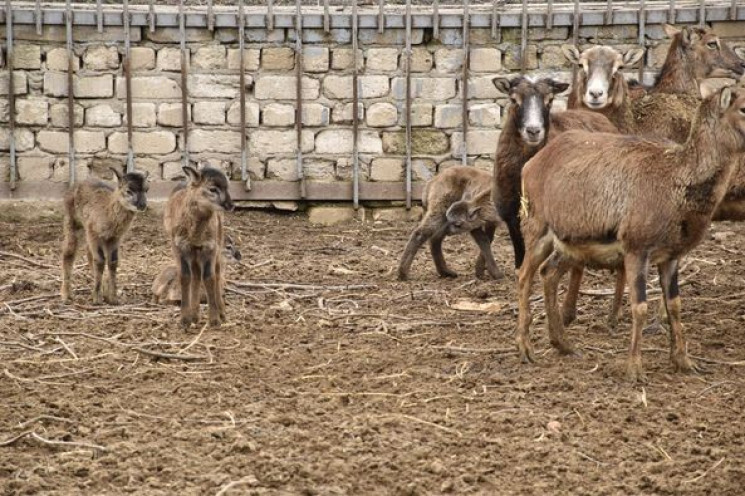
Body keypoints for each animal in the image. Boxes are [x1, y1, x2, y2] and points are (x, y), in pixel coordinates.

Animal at [61, 169, 150, 304]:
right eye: (128, 190)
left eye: (146, 189)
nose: (142, 205)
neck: (108, 213)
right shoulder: (93, 231)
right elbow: (100, 260)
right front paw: (97, 299)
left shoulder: (115, 237)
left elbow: (113, 261)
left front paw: (112, 298)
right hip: (72, 219)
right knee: (69, 252)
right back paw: (66, 295)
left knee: (89, 254)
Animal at [164, 167, 234, 330]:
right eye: (212, 189)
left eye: (228, 187)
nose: (230, 205)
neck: (195, 235)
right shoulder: (179, 246)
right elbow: (185, 276)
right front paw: (184, 320)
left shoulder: (210, 247)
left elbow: (209, 277)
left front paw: (215, 320)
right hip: (193, 252)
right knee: (195, 275)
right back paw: (194, 316)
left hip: (218, 240)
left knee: (217, 274)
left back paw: (221, 313)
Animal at [516, 85, 744, 382]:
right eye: (743, 107)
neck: (678, 184)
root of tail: (529, 165)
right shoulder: (636, 246)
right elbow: (639, 306)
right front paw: (634, 369)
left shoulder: (672, 255)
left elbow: (675, 305)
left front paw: (684, 361)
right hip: (536, 225)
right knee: (524, 275)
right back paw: (525, 349)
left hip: (571, 243)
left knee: (548, 272)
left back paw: (564, 345)